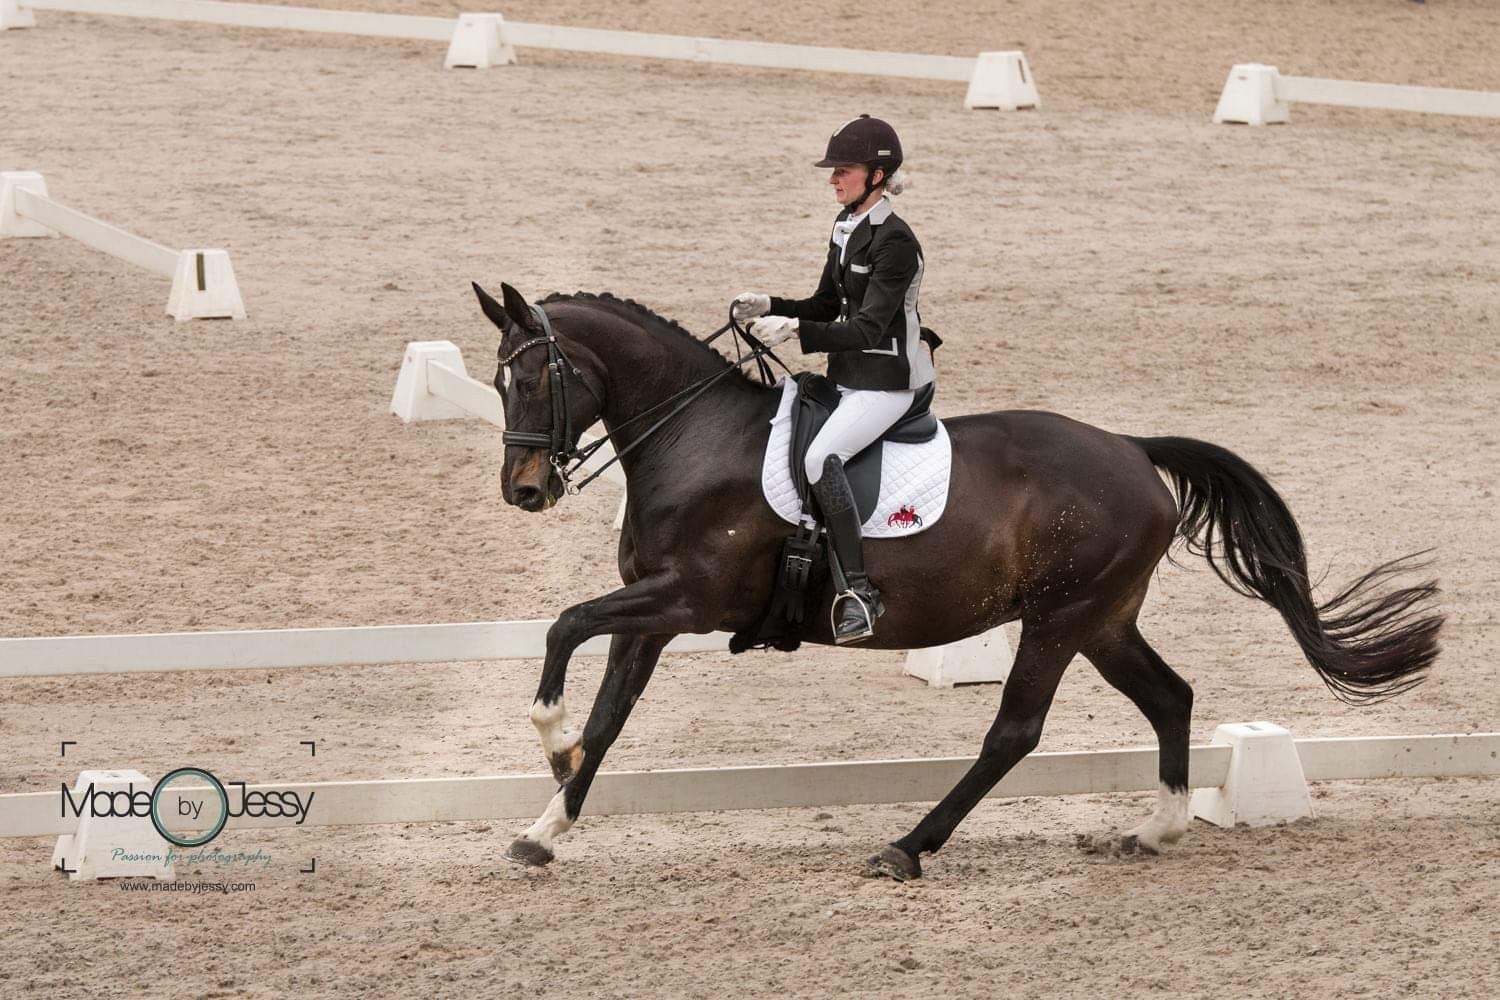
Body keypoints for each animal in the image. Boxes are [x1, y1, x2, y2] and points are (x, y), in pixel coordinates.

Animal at [473, 281, 1443, 881]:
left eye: (538, 376)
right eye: (496, 379)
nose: (525, 491)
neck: (694, 437)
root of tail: (1133, 451)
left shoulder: (690, 601)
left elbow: (565, 624)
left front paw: (549, 740)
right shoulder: (656, 615)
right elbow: (609, 714)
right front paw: (544, 826)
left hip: (1060, 620)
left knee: (1013, 732)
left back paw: (907, 847)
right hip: (1103, 619)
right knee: (1170, 695)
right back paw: (1156, 828)